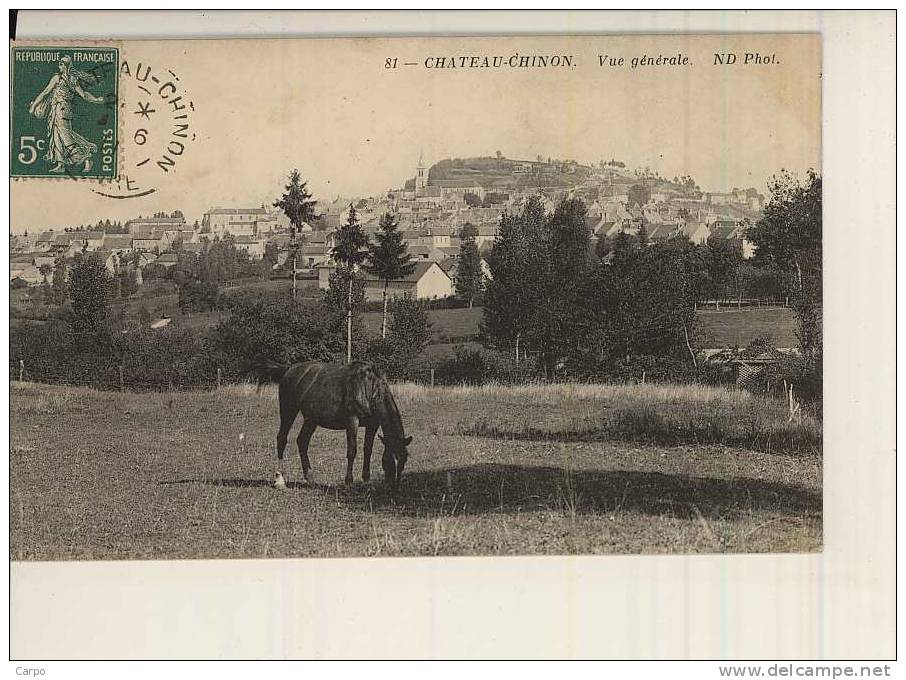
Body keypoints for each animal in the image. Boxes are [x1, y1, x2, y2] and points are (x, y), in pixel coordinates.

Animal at [251, 362, 414, 488]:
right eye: (389, 459)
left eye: (404, 459)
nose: (394, 486)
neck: (367, 386)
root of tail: (288, 369)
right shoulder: (352, 421)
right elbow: (352, 451)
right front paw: (349, 481)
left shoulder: (372, 425)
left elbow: (368, 450)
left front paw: (366, 479)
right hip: (288, 411)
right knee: (282, 439)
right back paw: (280, 480)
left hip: (311, 419)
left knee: (302, 441)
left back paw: (310, 479)